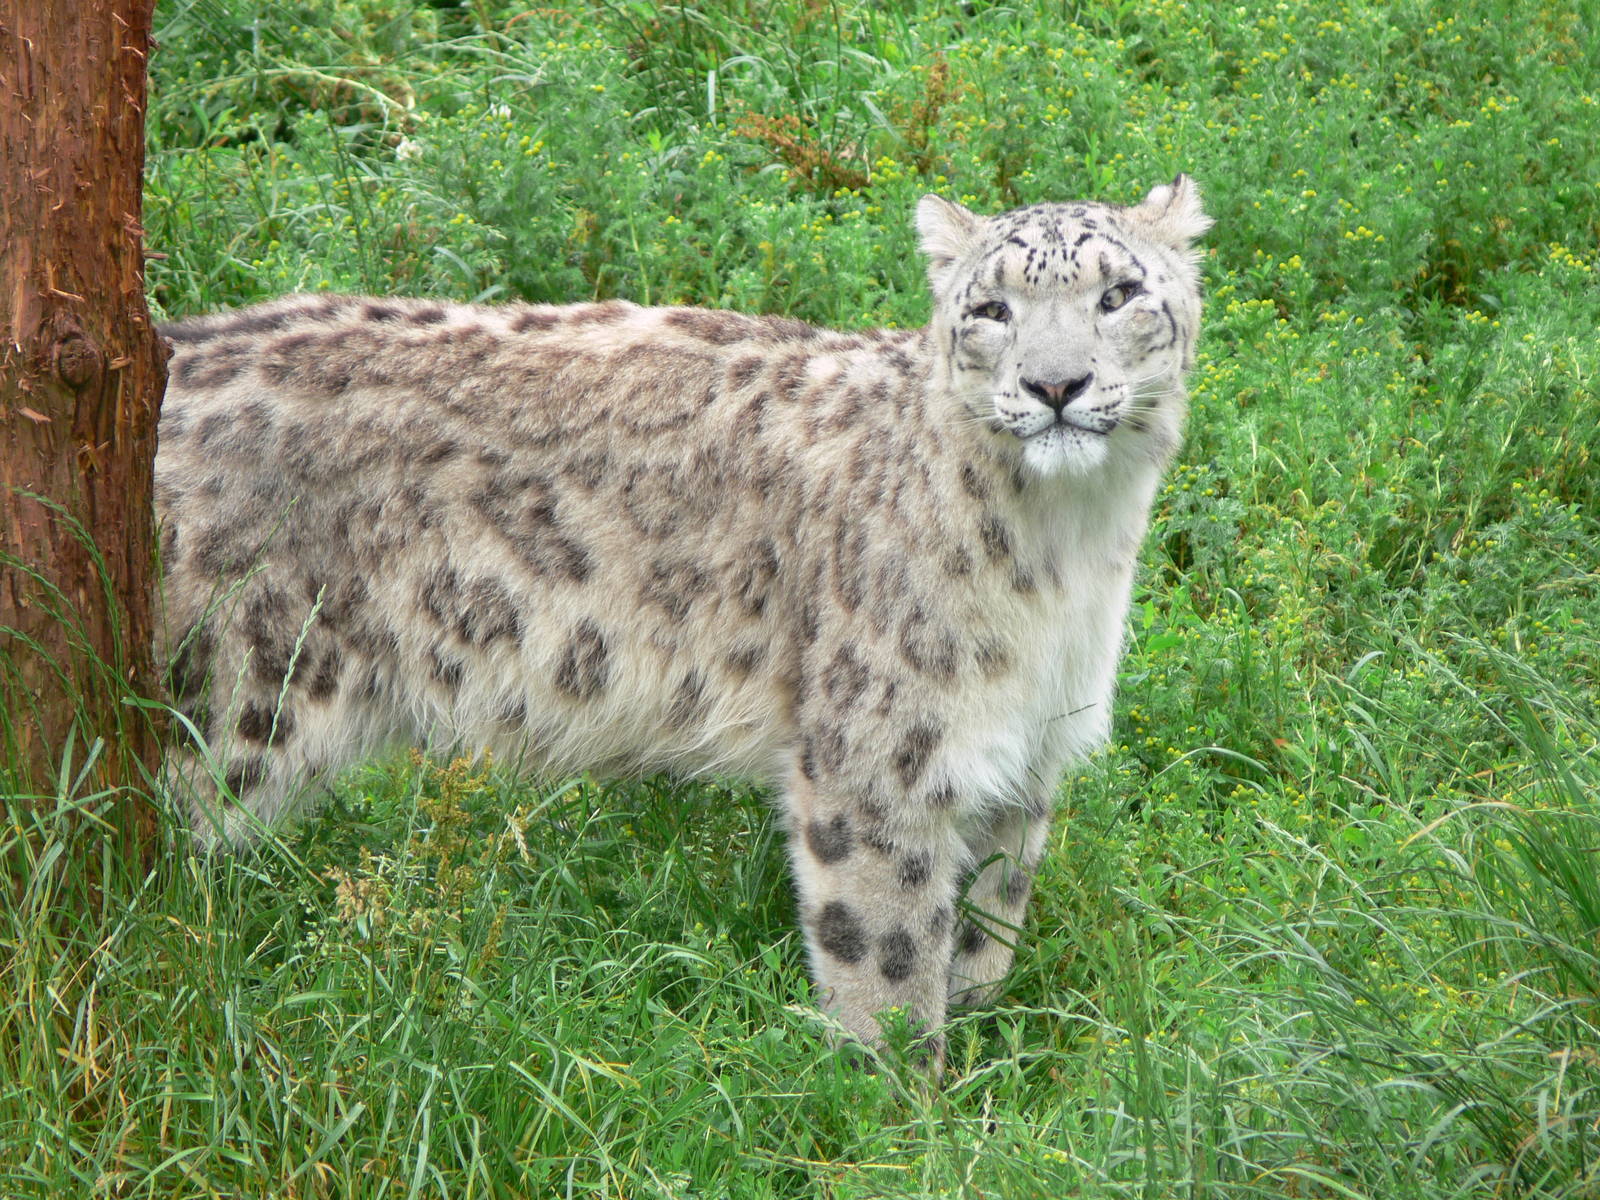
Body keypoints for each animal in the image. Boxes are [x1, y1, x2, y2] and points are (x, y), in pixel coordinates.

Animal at [154, 177, 1210, 1066]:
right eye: (991, 310)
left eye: (1119, 294)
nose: (1056, 385)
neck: (1066, 558)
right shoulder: (882, 761)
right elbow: (890, 949)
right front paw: (901, 1102)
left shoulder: (1026, 750)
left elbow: (992, 911)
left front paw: (986, 1028)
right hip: (235, 703)